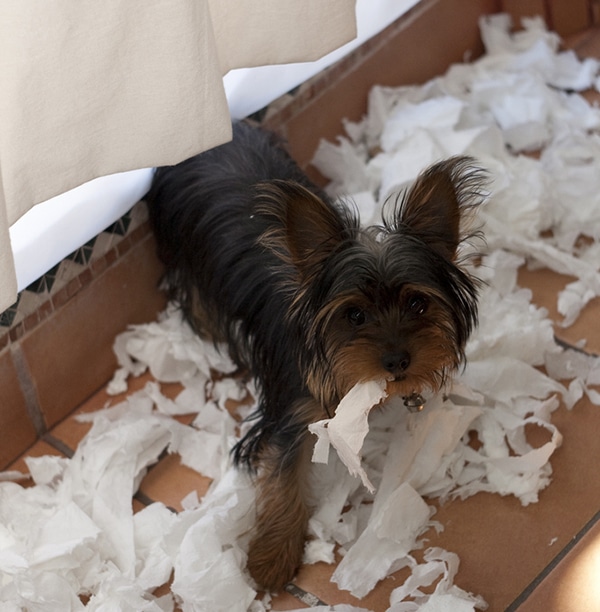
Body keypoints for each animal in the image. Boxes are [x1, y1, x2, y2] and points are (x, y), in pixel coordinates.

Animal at [146, 120, 488, 592]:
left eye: (419, 305)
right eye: (354, 315)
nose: (398, 362)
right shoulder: (290, 407)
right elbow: (283, 471)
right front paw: (272, 557)